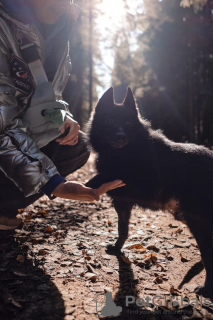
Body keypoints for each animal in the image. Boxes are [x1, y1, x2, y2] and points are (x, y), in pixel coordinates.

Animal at [85, 87, 213, 298]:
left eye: (128, 123)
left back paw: (206, 288)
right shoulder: (123, 203)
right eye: (109, 119)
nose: (121, 136)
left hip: (197, 222)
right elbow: (122, 230)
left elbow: (110, 173)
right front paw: (117, 248)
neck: (122, 153)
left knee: (209, 254)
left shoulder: (139, 178)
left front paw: (85, 183)